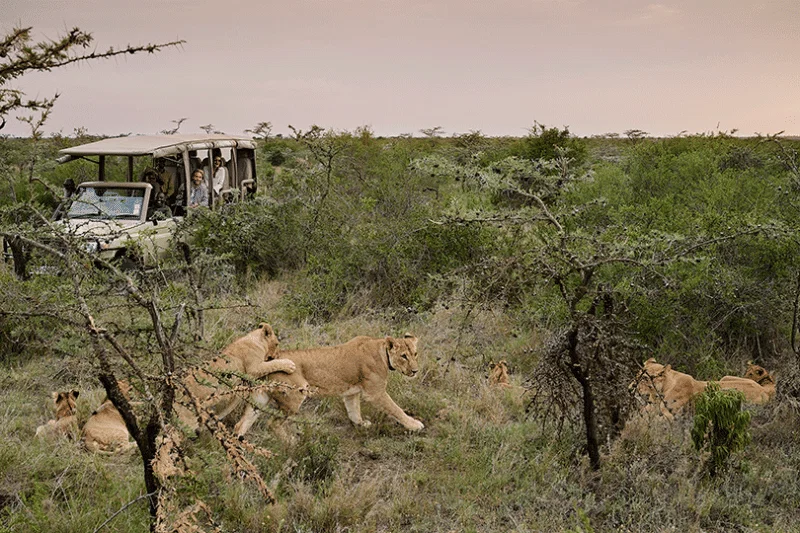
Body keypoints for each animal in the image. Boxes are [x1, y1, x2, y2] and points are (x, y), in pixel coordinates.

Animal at [233, 334, 424, 436]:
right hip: (294, 396)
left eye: (415, 354)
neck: (382, 351)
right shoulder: (375, 392)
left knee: (240, 424)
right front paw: (414, 425)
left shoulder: (351, 393)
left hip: (260, 397)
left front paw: (362, 424)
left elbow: (354, 412)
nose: (415, 371)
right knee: (272, 424)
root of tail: (268, 360)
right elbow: (396, 409)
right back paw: (291, 444)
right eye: (404, 356)